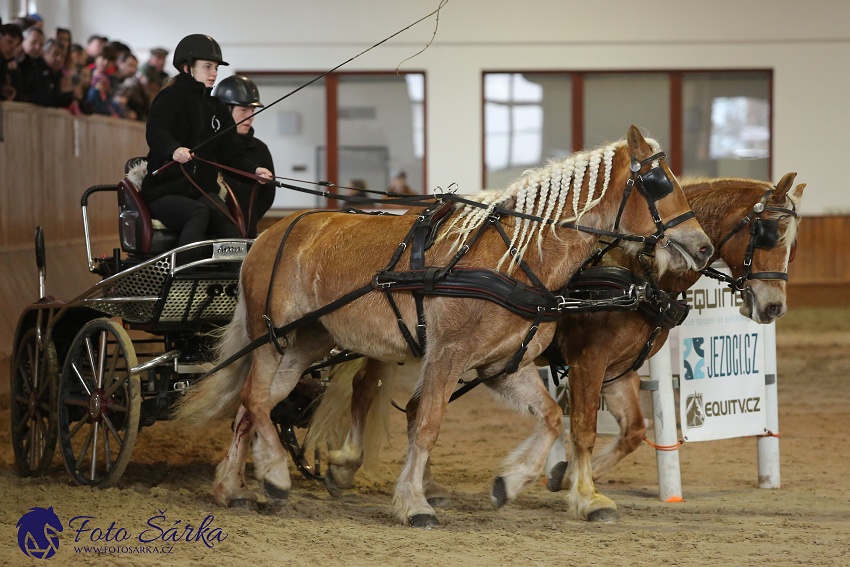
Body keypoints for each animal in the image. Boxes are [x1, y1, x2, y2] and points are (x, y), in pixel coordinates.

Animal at [172, 126, 708, 524]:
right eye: (659, 183)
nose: (702, 246)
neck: (516, 260)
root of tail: (269, 235)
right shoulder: (450, 357)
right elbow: (427, 424)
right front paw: (414, 503)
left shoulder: (504, 366)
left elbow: (554, 418)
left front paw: (512, 482)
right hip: (273, 338)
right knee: (255, 399)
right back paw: (275, 476)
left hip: (307, 343)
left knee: (254, 406)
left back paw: (232, 488)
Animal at [310, 173, 800, 524]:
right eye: (768, 234)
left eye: (792, 244)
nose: (774, 306)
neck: (635, 272)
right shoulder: (588, 362)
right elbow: (582, 426)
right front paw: (581, 490)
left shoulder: (619, 370)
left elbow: (633, 430)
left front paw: (566, 477)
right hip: (391, 342)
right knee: (366, 390)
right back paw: (346, 465)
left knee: (413, 409)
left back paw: (425, 489)